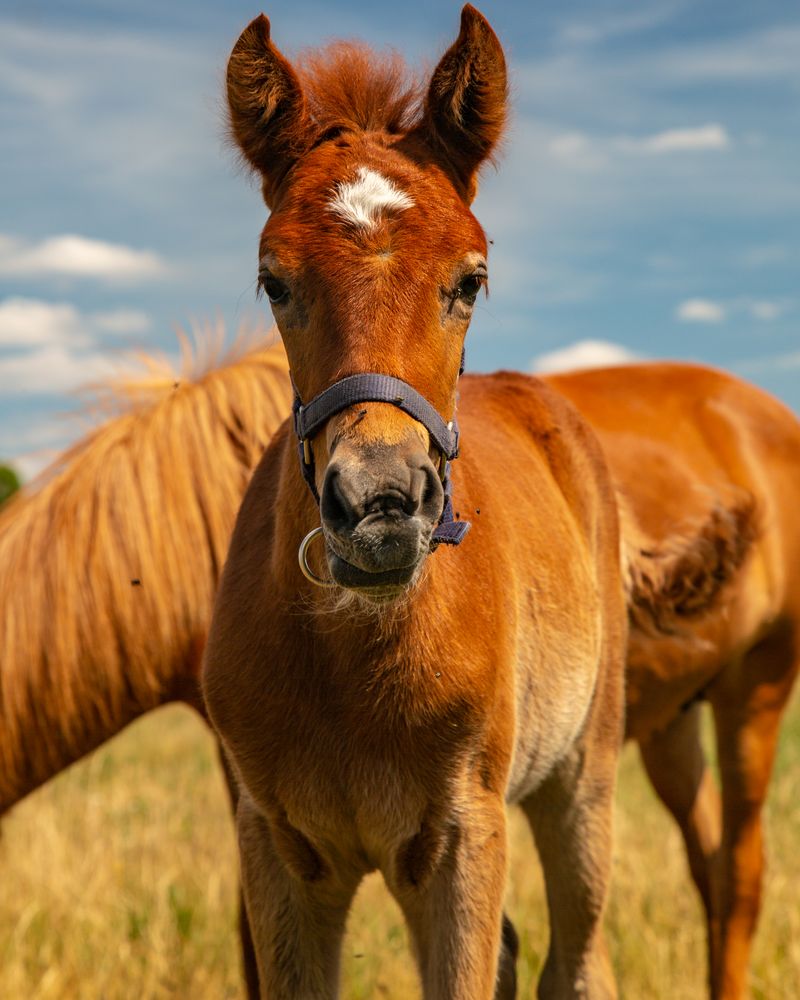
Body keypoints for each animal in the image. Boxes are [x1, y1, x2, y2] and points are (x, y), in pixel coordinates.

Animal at [203, 9, 628, 1000]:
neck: (348, 663)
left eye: (470, 279)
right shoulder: (276, 850)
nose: (383, 503)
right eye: (274, 280)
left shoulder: (464, 839)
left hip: (581, 779)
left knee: (579, 956)